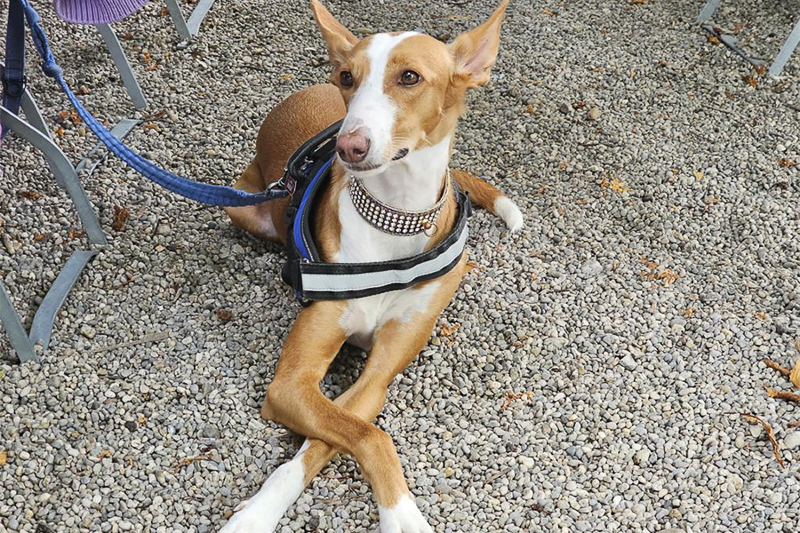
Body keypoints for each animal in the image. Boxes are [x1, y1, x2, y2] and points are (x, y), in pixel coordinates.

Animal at [220, 1, 522, 531]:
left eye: (410, 76)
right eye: (348, 76)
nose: (349, 147)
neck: (394, 220)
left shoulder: (377, 376)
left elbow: (341, 436)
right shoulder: (290, 384)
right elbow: (368, 436)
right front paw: (255, 516)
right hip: (242, 205)